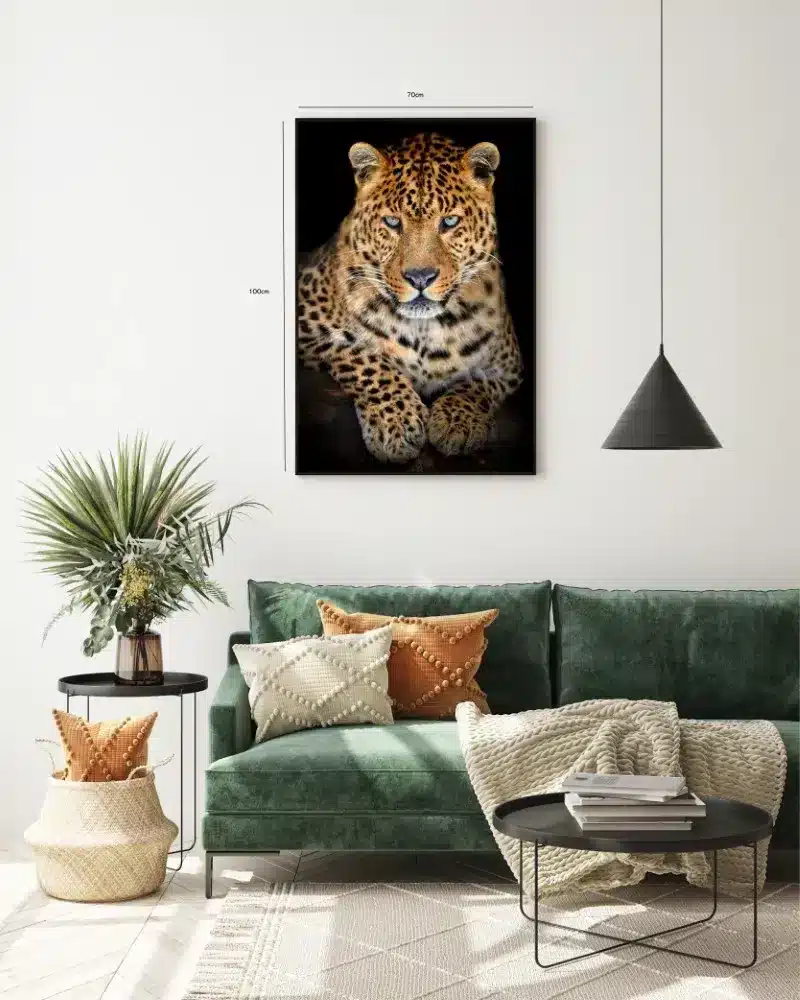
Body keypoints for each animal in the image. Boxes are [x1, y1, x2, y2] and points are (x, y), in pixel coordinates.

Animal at [297, 132, 523, 463]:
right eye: (392, 223)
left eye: (449, 222)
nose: (420, 277)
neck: (424, 331)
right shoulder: (306, 328)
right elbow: (365, 358)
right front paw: (397, 425)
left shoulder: (508, 364)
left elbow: (479, 384)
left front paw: (458, 422)